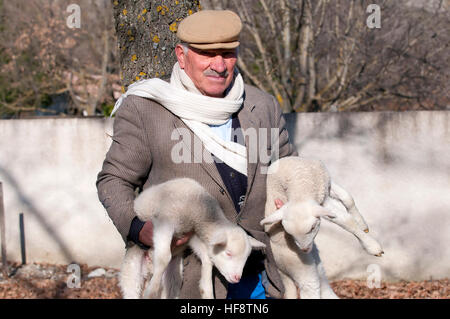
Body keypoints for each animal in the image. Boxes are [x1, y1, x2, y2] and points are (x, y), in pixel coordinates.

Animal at [120, 178, 268, 300]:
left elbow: (208, 260)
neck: (201, 210)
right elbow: (164, 257)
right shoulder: (165, 222)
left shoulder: (193, 237)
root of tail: (149, 271)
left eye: (246, 258)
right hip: (131, 272)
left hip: (172, 277)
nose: (237, 279)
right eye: (228, 253)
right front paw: (151, 291)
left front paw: (207, 291)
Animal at [260, 158, 384, 300]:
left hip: (313, 265)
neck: (300, 185)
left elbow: (348, 199)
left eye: (313, 227)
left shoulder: (324, 191)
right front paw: (373, 247)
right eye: (288, 232)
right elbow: (346, 219)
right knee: (310, 289)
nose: (304, 249)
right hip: (298, 266)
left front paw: (362, 225)